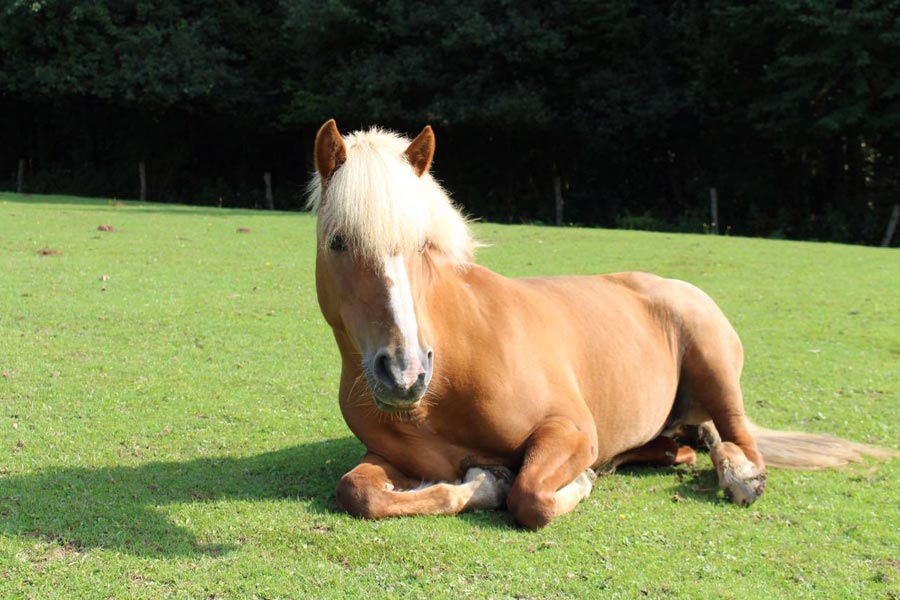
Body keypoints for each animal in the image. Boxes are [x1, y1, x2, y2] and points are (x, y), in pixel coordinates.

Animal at [306, 118, 896, 528]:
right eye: (338, 242)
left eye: (424, 246)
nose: (406, 374)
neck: (451, 371)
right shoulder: (391, 457)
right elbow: (356, 492)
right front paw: (485, 481)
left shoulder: (569, 429)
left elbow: (531, 497)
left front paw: (567, 483)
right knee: (691, 441)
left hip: (714, 362)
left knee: (736, 434)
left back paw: (741, 475)